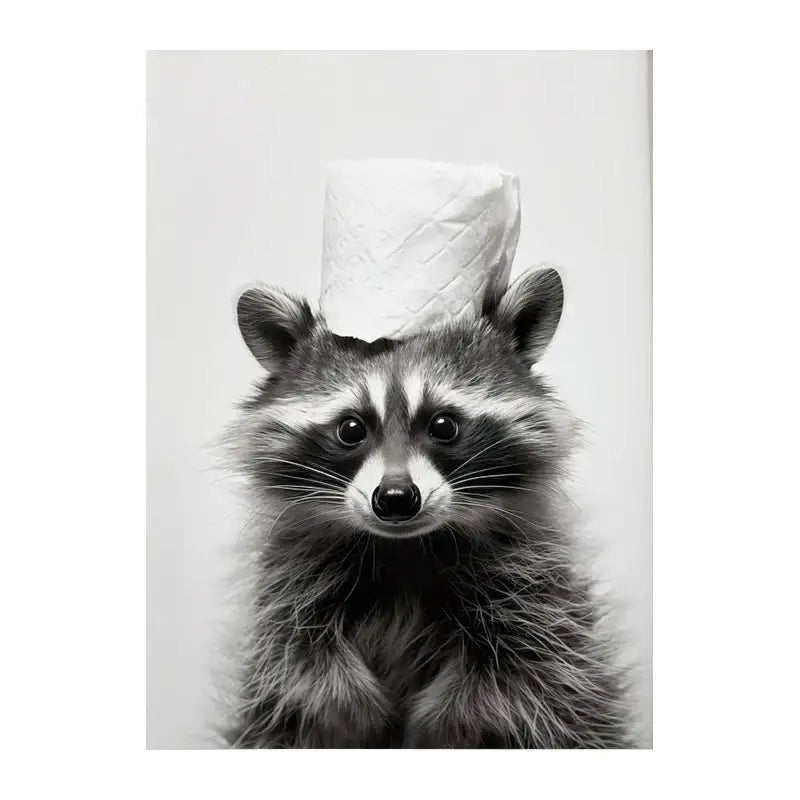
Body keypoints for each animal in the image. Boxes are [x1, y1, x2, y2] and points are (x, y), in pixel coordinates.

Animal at [221, 266, 631, 748]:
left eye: (443, 425)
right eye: (351, 429)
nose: (396, 499)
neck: (405, 546)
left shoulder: (532, 586)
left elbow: (520, 668)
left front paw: (442, 723)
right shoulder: (292, 576)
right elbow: (298, 655)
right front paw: (352, 706)